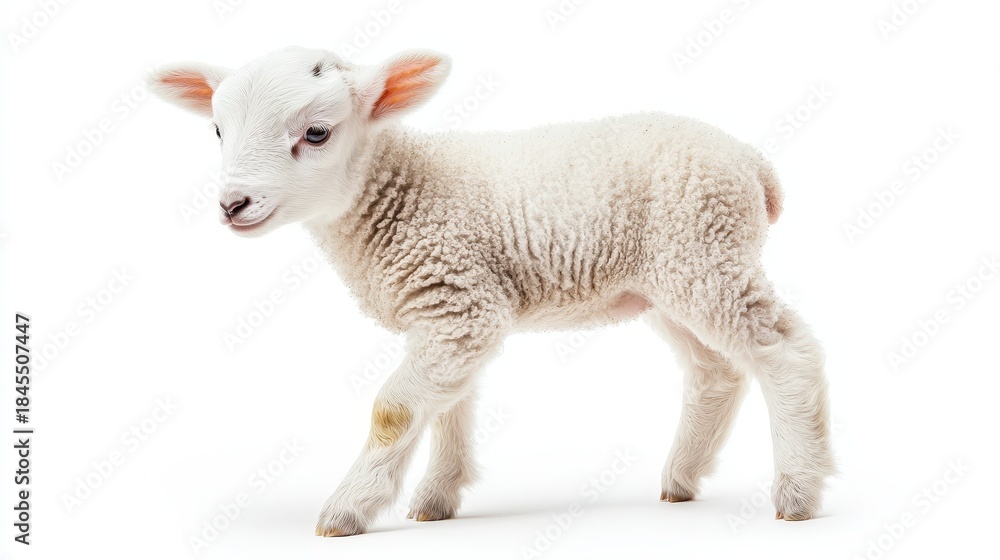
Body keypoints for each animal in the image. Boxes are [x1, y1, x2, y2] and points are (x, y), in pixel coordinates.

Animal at [147, 46, 835, 537]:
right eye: (217, 131)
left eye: (316, 133)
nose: (233, 204)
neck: (397, 191)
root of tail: (754, 164)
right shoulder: (455, 314)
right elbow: (448, 405)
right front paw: (435, 498)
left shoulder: (459, 304)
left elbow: (394, 410)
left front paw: (347, 510)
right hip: (670, 281)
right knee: (715, 370)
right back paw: (682, 479)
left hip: (706, 254)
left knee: (785, 352)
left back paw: (799, 490)